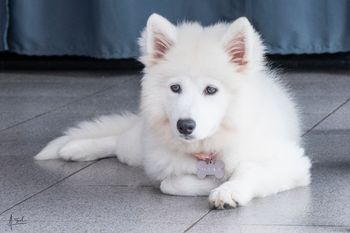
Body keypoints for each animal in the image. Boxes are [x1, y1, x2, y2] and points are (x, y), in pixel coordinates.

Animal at [34, 14, 312, 209]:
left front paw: (227, 190)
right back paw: (74, 149)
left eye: (211, 90)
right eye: (175, 88)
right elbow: (169, 183)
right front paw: (214, 183)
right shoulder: (163, 167)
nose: (185, 126)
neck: (207, 149)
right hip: (139, 149)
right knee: (120, 141)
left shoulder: (292, 162)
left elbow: (250, 171)